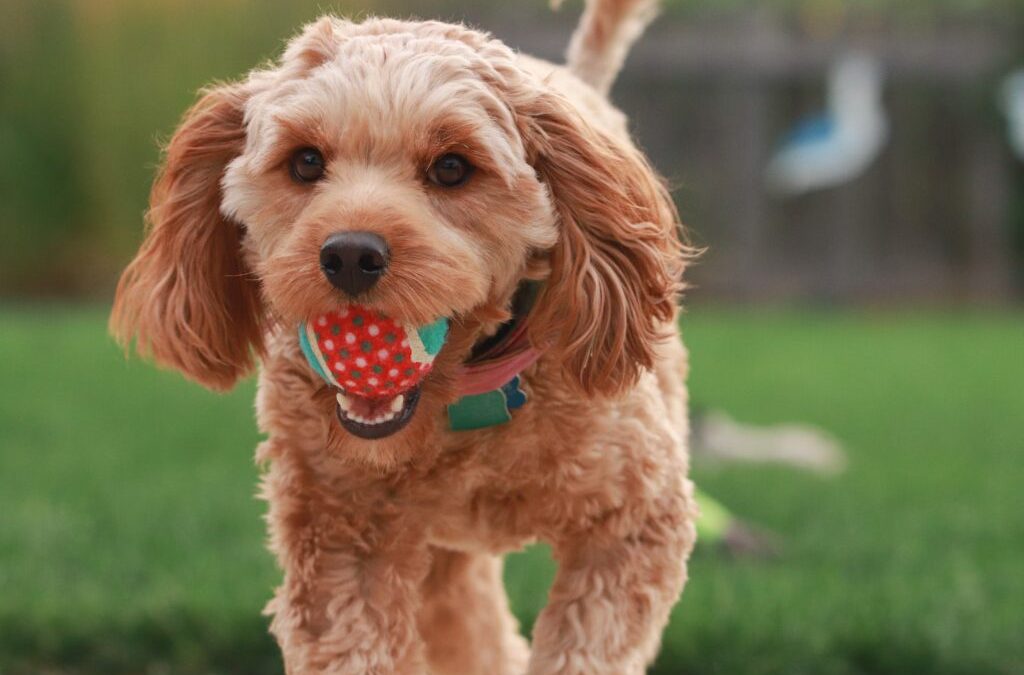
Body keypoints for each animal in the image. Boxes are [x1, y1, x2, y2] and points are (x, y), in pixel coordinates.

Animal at [112, 2, 700, 671]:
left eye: (452, 167)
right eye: (305, 161)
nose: (349, 255)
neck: (469, 403)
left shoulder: (635, 523)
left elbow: (583, 646)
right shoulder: (342, 543)